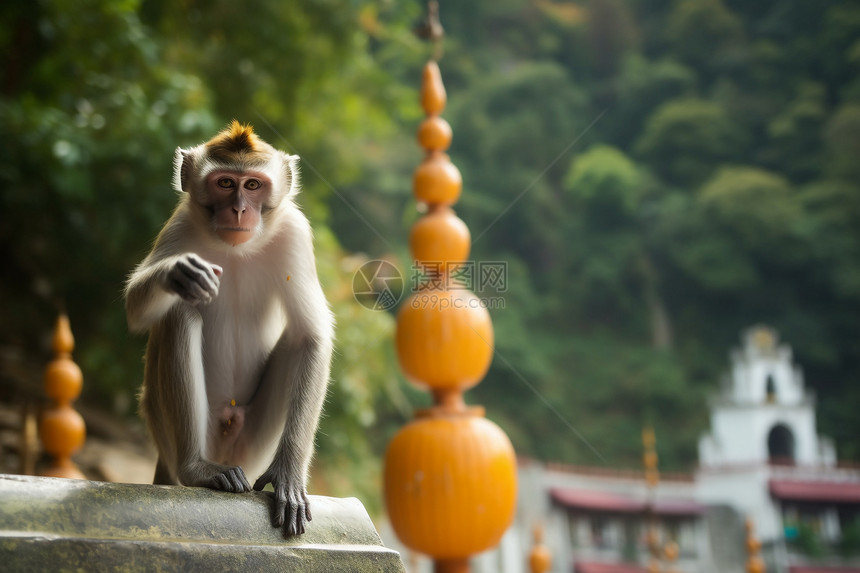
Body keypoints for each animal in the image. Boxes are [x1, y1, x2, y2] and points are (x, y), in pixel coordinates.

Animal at [126, 120, 334, 536]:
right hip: (171, 431)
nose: (239, 209)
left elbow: (311, 336)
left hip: (251, 445)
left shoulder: (295, 234)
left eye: (252, 185)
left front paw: (288, 476)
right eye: (224, 183)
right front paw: (177, 272)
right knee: (179, 314)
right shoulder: (179, 227)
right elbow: (136, 309)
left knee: (294, 341)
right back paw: (197, 469)